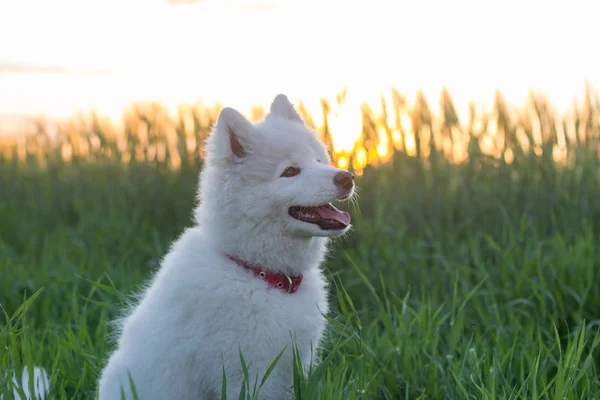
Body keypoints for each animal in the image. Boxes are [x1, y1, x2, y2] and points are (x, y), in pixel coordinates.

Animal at [96, 94, 354, 400]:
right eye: (290, 172)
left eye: (318, 160)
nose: (347, 177)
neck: (258, 272)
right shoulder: (249, 372)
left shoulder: (295, 364)